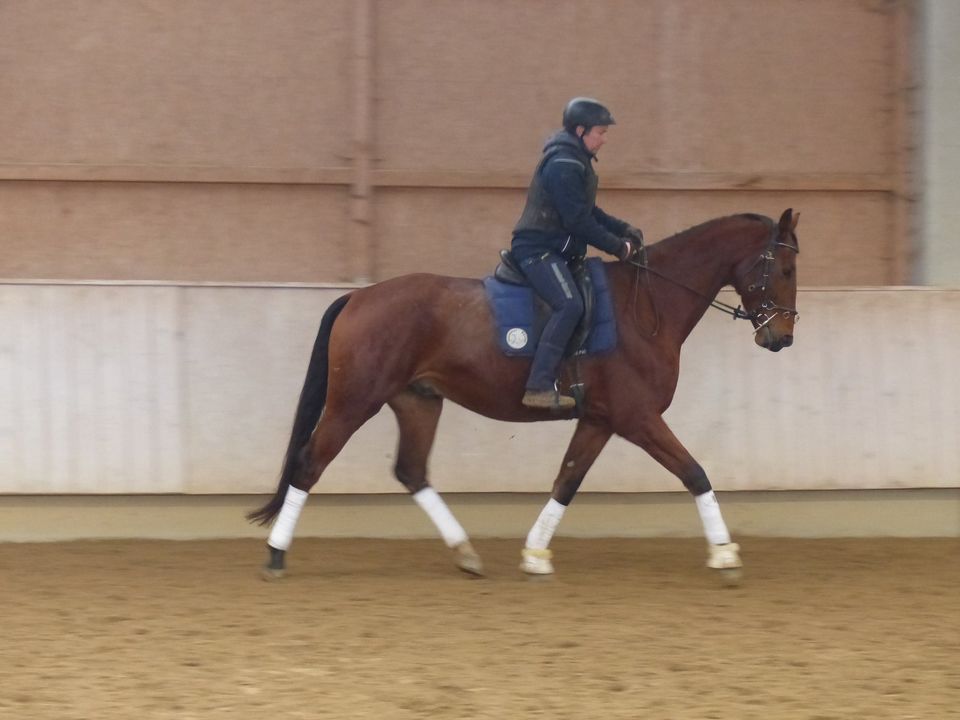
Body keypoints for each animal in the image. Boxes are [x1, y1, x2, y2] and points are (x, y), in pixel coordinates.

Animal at [249, 205, 804, 584]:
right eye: (785, 270)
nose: (781, 338)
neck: (648, 306)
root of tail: (359, 296)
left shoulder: (600, 420)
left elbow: (566, 481)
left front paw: (535, 554)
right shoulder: (638, 417)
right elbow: (694, 473)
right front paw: (725, 554)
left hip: (418, 400)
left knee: (411, 471)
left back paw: (466, 553)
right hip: (354, 401)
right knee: (310, 463)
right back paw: (276, 554)